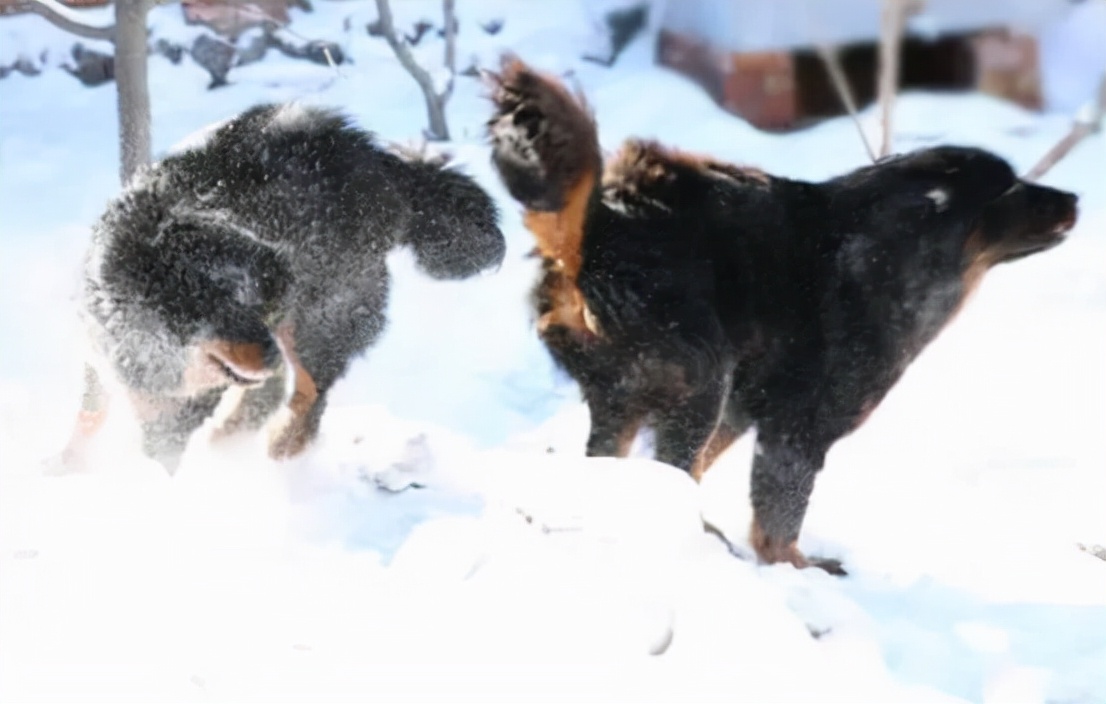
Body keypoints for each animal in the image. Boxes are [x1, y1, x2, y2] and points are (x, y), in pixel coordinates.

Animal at [62, 101, 504, 468]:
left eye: (249, 300)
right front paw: (66, 466)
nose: (271, 353)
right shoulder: (101, 362)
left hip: (323, 316)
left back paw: (283, 443)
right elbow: (89, 416)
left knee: (309, 390)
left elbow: (161, 452)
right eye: (216, 308)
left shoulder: (181, 405)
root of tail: (376, 162)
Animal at [486, 59, 1079, 570]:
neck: (892, 247)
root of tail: (599, 228)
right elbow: (779, 515)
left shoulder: (743, 410)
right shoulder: (799, 429)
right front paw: (795, 567)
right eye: (1010, 187)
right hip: (698, 384)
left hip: (635, 397)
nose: (1074, 198)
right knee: (672, 464)